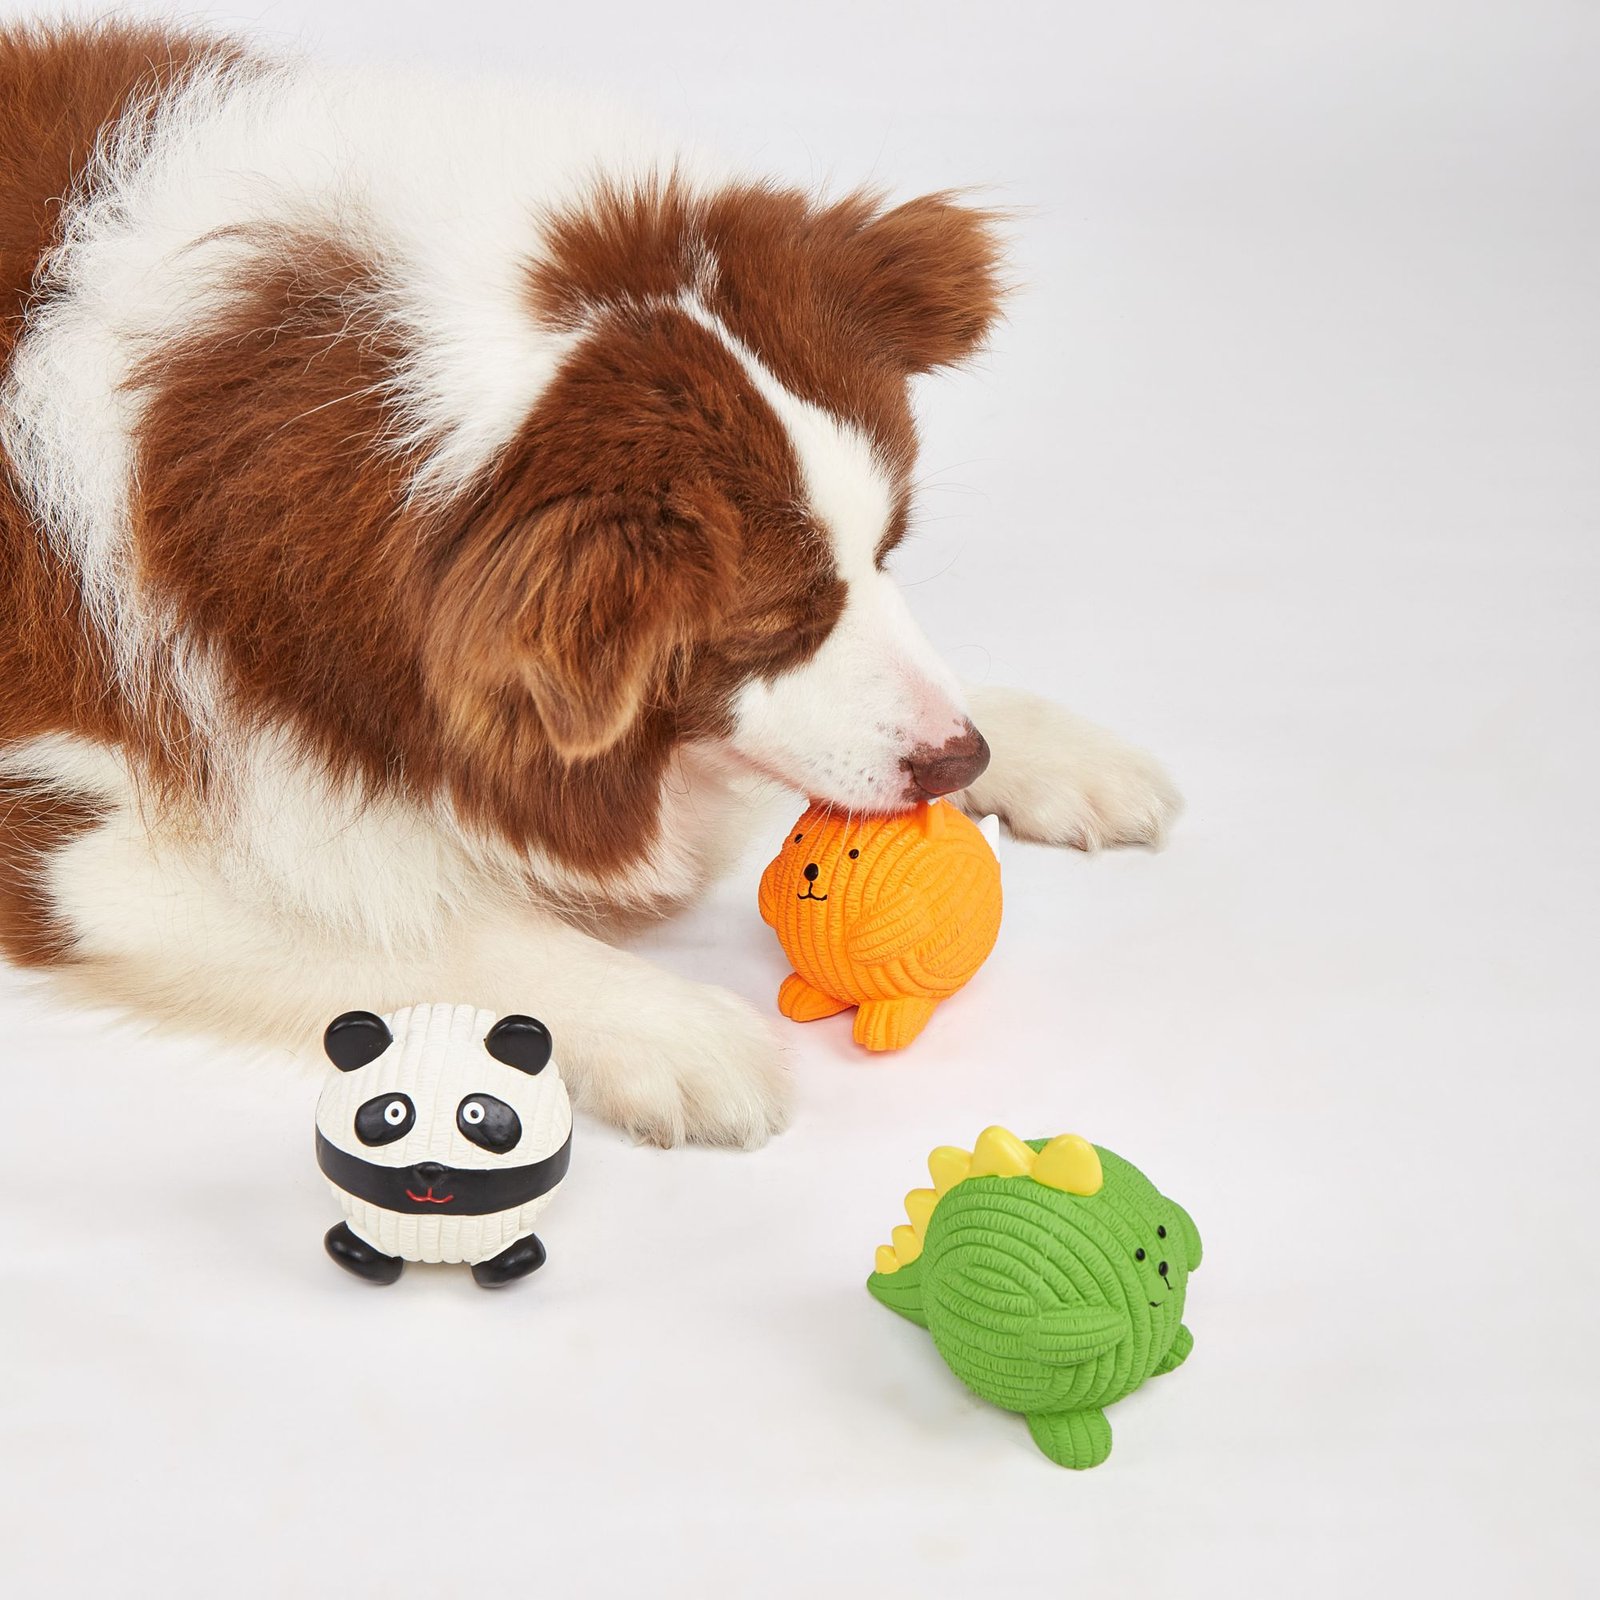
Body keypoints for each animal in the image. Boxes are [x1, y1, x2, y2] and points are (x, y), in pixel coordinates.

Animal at [0, 20, 1180, 1147]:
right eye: (771, 621)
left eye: (886, 549)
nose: (959, 757)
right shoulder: (59, 831)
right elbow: (432, 925)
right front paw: (679, 1028)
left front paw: (1050, 748)